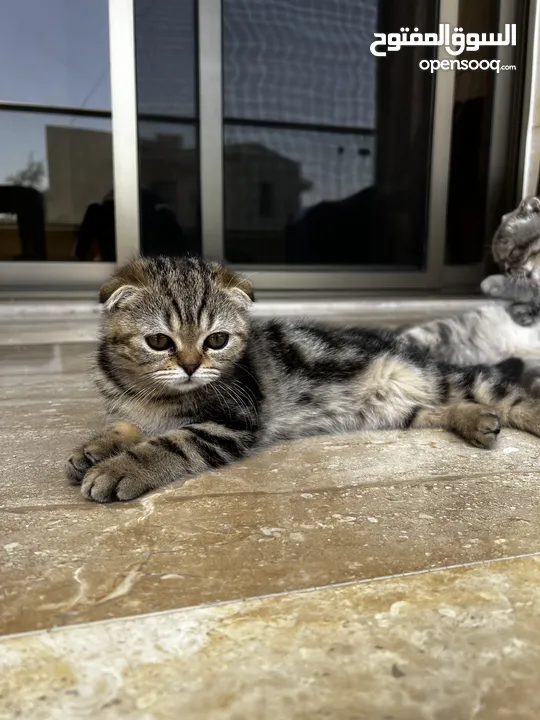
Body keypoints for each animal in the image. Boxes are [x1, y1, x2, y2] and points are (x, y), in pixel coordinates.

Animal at [68, 256, 540, 504]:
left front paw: (121, 467)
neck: (151, 393)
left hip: (441, 376)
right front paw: (94, 447)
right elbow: (125, 423)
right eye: (159, 341)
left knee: (504, 393)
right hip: (399, 408)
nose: (189, 366)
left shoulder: (233, 421)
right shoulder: (130, 405)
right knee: (437, 410)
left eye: (216, 340)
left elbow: (172, 441)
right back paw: (477, 422)